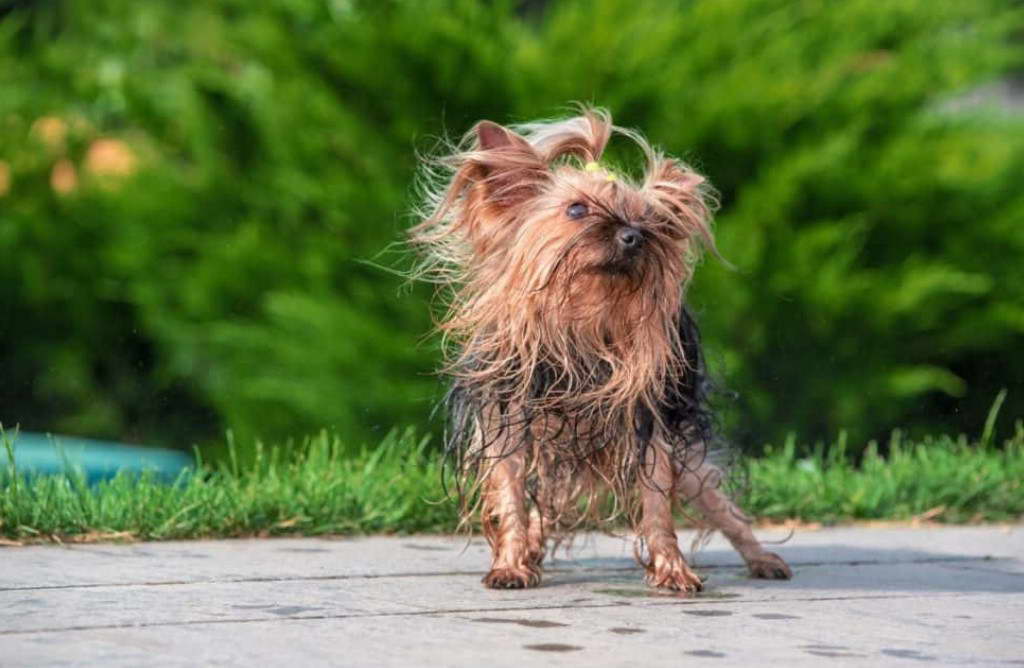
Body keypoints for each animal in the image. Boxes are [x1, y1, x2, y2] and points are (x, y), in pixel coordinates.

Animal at [407, 105, 790, 590]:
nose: (632, 235)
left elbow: (657, 504)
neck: (583, 322)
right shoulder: (507, 421)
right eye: (576, 208)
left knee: (721, 505)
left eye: (650, 221)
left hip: (686, 454)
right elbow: (511, 494)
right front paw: (511, 563)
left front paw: (672, 568)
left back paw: (763, 559)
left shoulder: (650, 427)